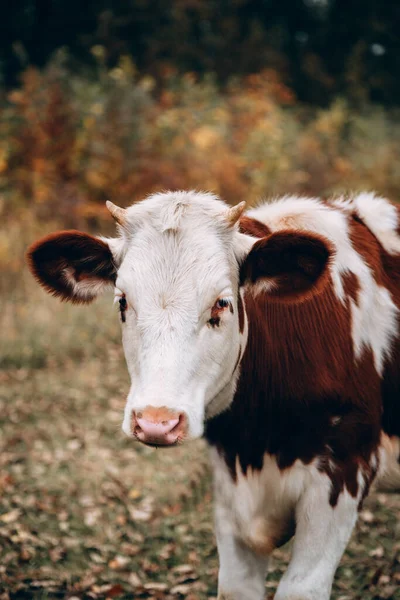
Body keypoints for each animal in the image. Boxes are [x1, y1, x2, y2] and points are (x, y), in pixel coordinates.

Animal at [27, 192, 400, 600]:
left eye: (221, 302)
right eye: (122, 301)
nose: (156, 421)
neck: (259, 443)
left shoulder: (343, 473)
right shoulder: (228, 490)